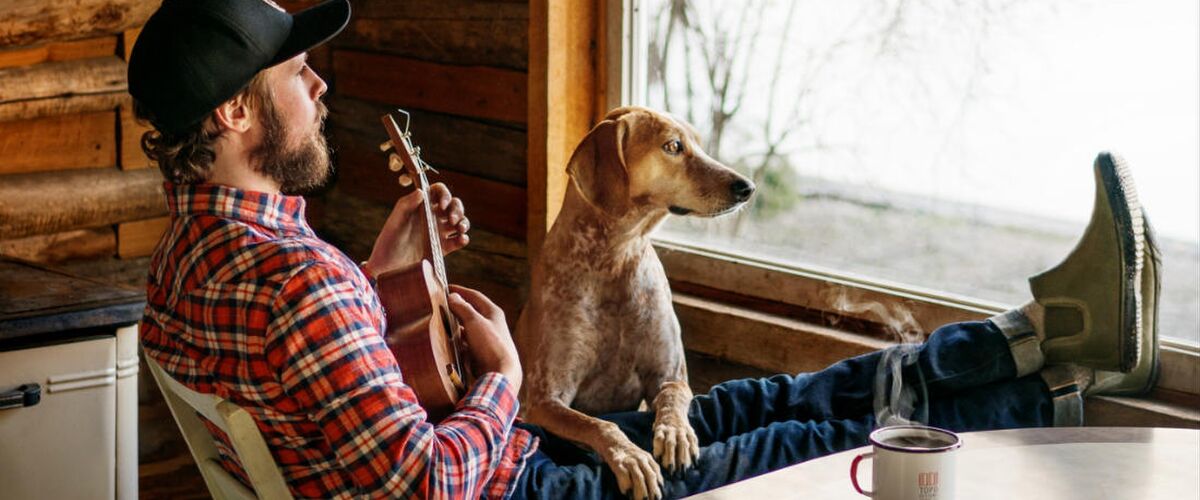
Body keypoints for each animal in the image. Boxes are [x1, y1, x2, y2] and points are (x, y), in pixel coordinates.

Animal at [513, 107, 753, 496]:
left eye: (699, 143)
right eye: (672, 146)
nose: (747, 187)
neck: (617, 256)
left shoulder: (670, 375)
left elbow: (672, 399)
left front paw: (675, 435)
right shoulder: (546, 399)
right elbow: (599, 424)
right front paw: (632, 458)